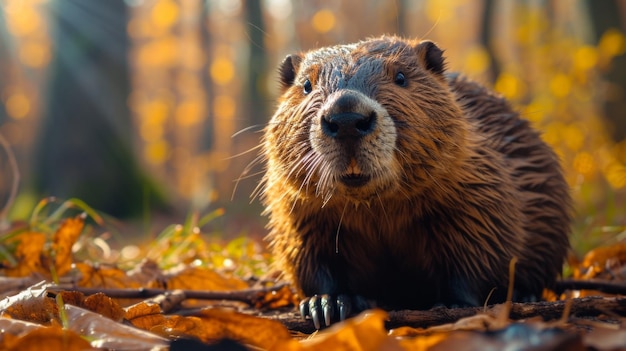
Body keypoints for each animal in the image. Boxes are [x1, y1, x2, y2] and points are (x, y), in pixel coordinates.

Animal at [258, 36, 572, 330]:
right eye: (306, 85)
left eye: (400, 77)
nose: (346, 116)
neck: (375, 207)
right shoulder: (298, 211)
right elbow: (310, 257)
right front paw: (328, 304)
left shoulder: (479, 183)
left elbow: (482, 247)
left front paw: (454, 303)